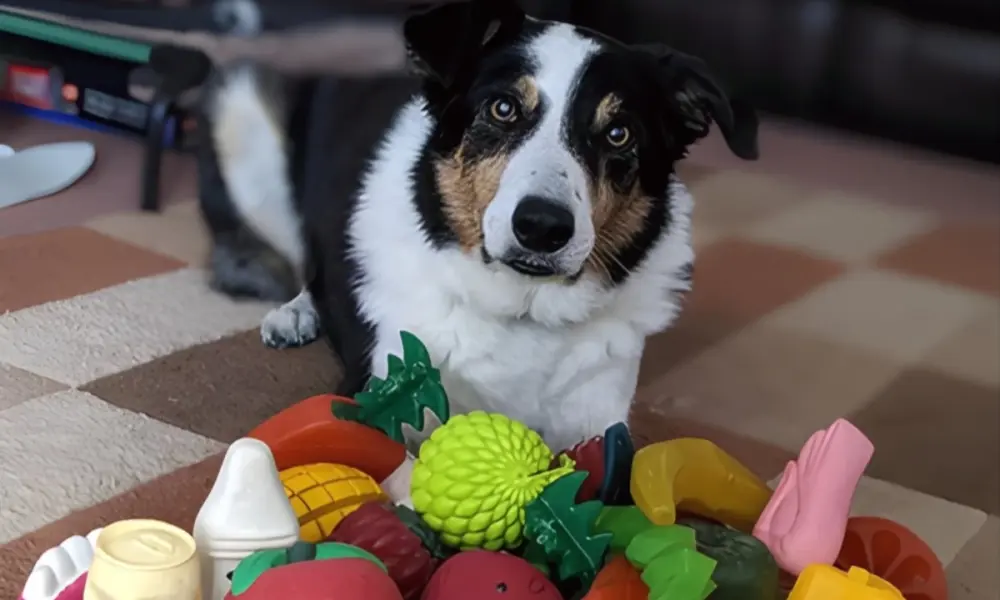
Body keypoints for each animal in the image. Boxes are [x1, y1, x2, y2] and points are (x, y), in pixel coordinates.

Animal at [198, 0, 759, 452]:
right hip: (247, 127)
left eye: (619, 134)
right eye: (503, 108)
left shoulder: (600, 426)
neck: (524, 310)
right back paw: (295, 310)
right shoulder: (383, 399)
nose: (542, 227)